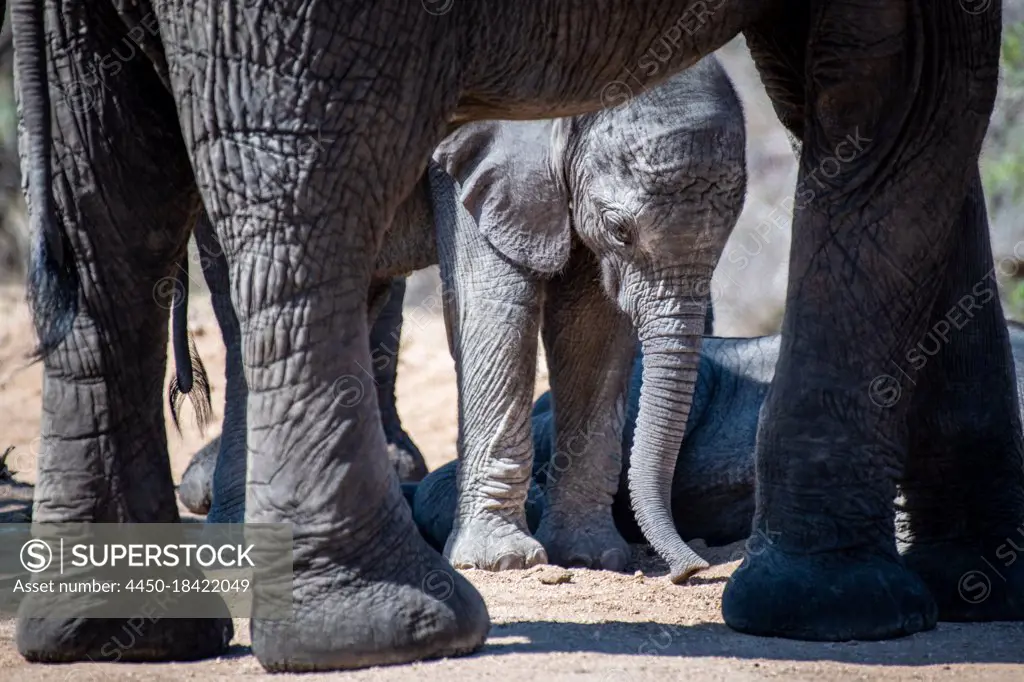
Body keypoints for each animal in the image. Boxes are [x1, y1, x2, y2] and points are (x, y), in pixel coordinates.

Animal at [182, 55, 745, 581]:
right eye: (620, 229)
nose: (691, 571)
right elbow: (495, 305)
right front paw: (502, 561)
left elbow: (593, 329)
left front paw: (589, 556)